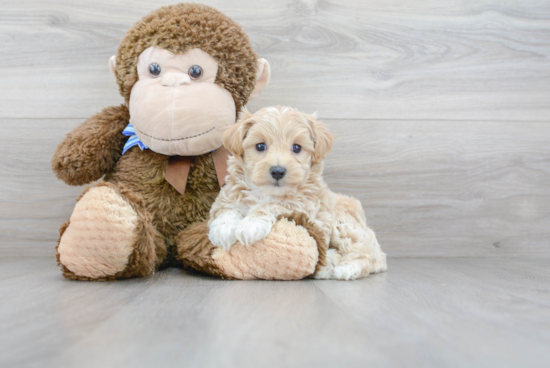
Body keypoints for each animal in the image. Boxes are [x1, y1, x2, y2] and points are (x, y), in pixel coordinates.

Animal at [209, 108, 390, 280]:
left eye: (296, 148)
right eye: (260, 146)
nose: (278, 171)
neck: (265, 192)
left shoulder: (304, 204)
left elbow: (273, 204)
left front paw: (251, 225)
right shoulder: (227, 196)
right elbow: (228, 208)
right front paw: (223, 230)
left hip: (343, 226)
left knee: (367, 253)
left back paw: (346, 269)